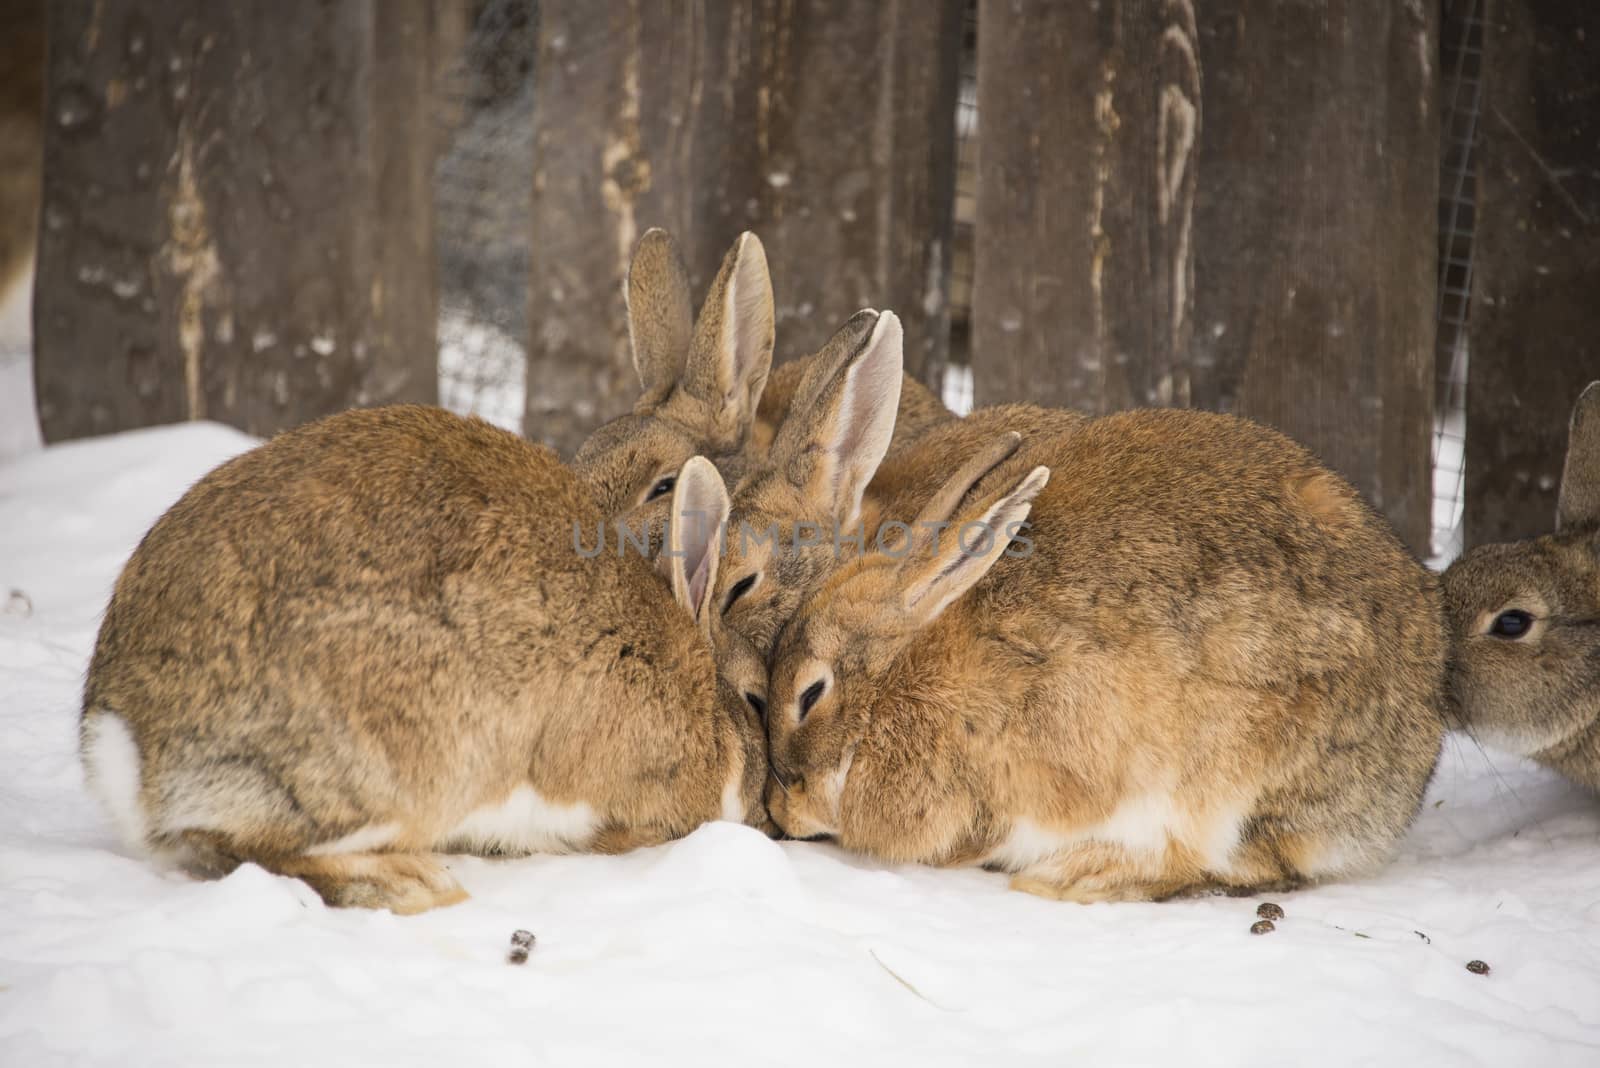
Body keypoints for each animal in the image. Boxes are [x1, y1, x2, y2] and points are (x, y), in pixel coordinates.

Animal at [81, 404, 768, 914]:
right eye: (756, 698)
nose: (767, 810)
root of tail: (125, 739)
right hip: (402, 762)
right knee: (245, 847)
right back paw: (413, 883)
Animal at [755, 409, 1446, 901]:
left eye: (810, 694)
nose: (782, 810)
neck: (902, 680)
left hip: (1242, 778)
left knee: (1242, 864)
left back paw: (1078, 876)